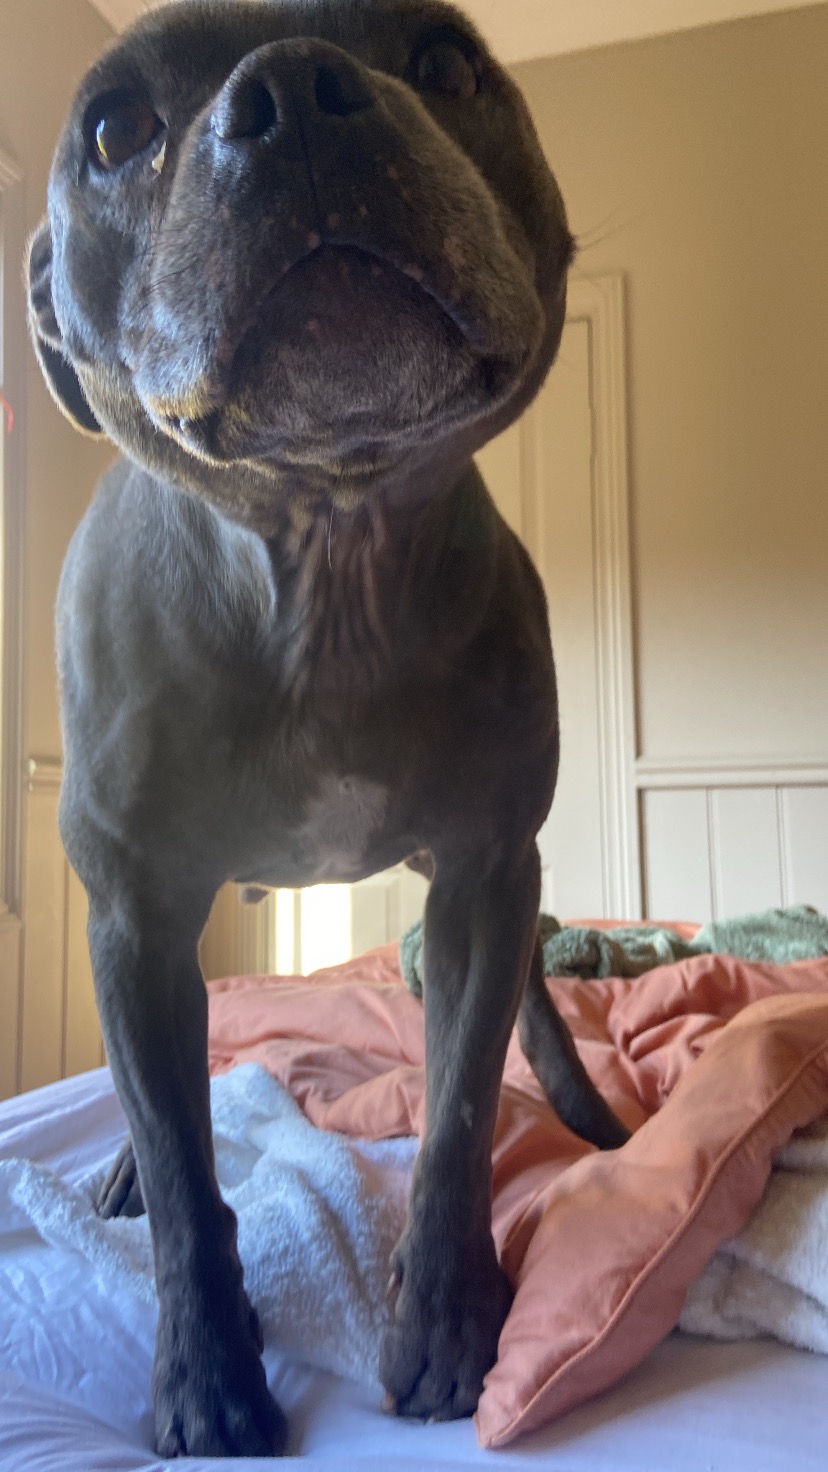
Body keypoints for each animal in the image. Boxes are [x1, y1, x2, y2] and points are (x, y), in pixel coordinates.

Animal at [28, 0, 629, 1456]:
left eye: (447, 59)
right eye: (116, 129)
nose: (297, 91)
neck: (326, 539)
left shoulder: (481, 873)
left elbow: (461, 1109)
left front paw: (453, 1321)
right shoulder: (132, 916)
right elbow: (185, 1166)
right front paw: (205, 1377)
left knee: (531, 1004)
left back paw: (586, 1111)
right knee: (163, 1092)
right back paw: (122, 1168)